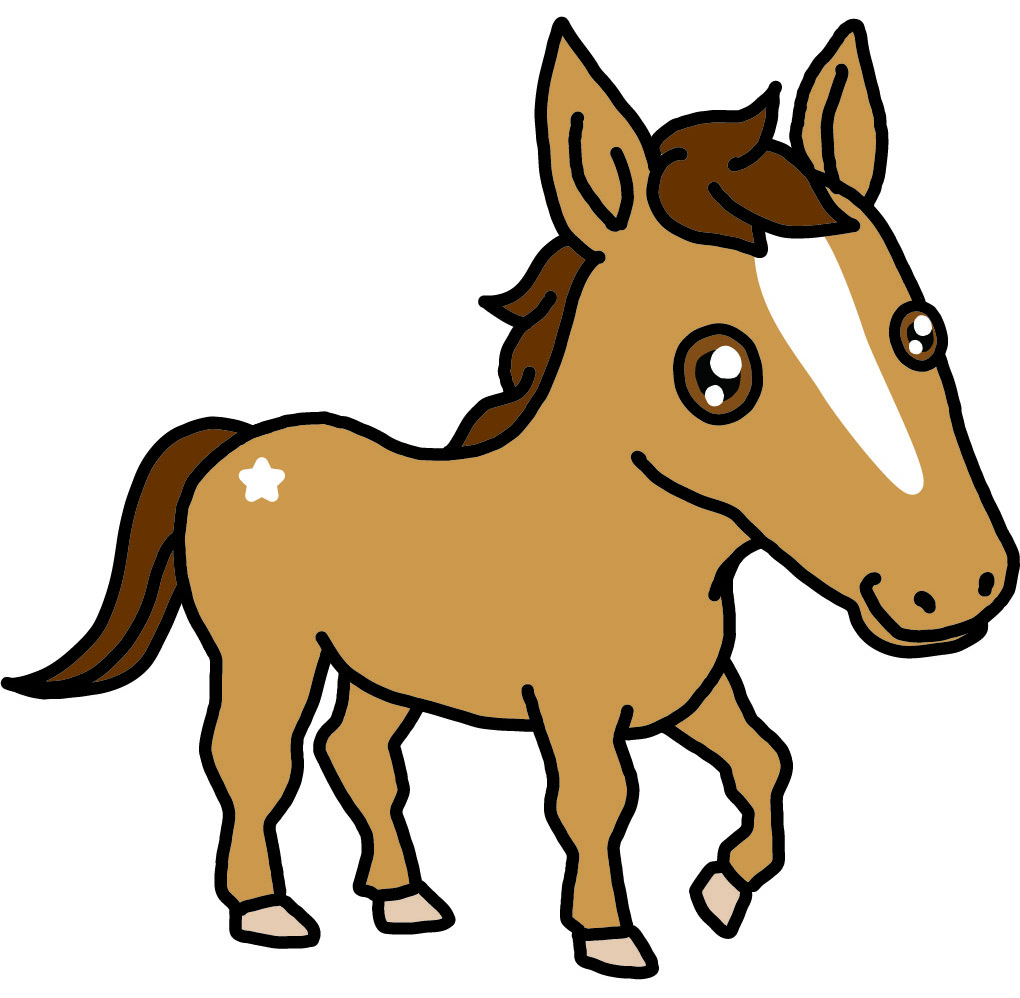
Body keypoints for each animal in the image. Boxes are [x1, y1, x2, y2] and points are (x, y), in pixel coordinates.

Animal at [4, 17, 1016, 980]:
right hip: (269, 655)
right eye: (717, 373)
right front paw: (609, 936)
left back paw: (404, 898)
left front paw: (722, 890)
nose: (953, 587)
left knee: (356, 754)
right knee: (253, 761)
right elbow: (599, 804)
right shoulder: (575, 709)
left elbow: (766, 763)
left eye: (921, 331)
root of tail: (243, 444)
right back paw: (267, 911)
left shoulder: (692, 692)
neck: (633, 543)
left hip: (383, 669)